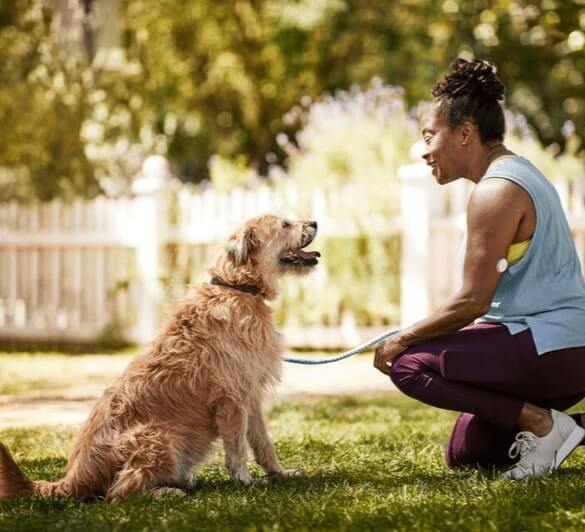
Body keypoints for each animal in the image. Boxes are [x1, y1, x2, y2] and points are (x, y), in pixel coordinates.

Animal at [0, 214, 320, 500]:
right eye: (284, 224)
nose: (315, 223)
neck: (237, 287)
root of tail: (74, 479)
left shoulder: (250, 397)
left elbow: (263, 442)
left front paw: (279, 473)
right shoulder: (232, 399)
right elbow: (236, 447)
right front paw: (244, 480)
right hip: (157, 437)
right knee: (119, 493)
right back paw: (165, 492)